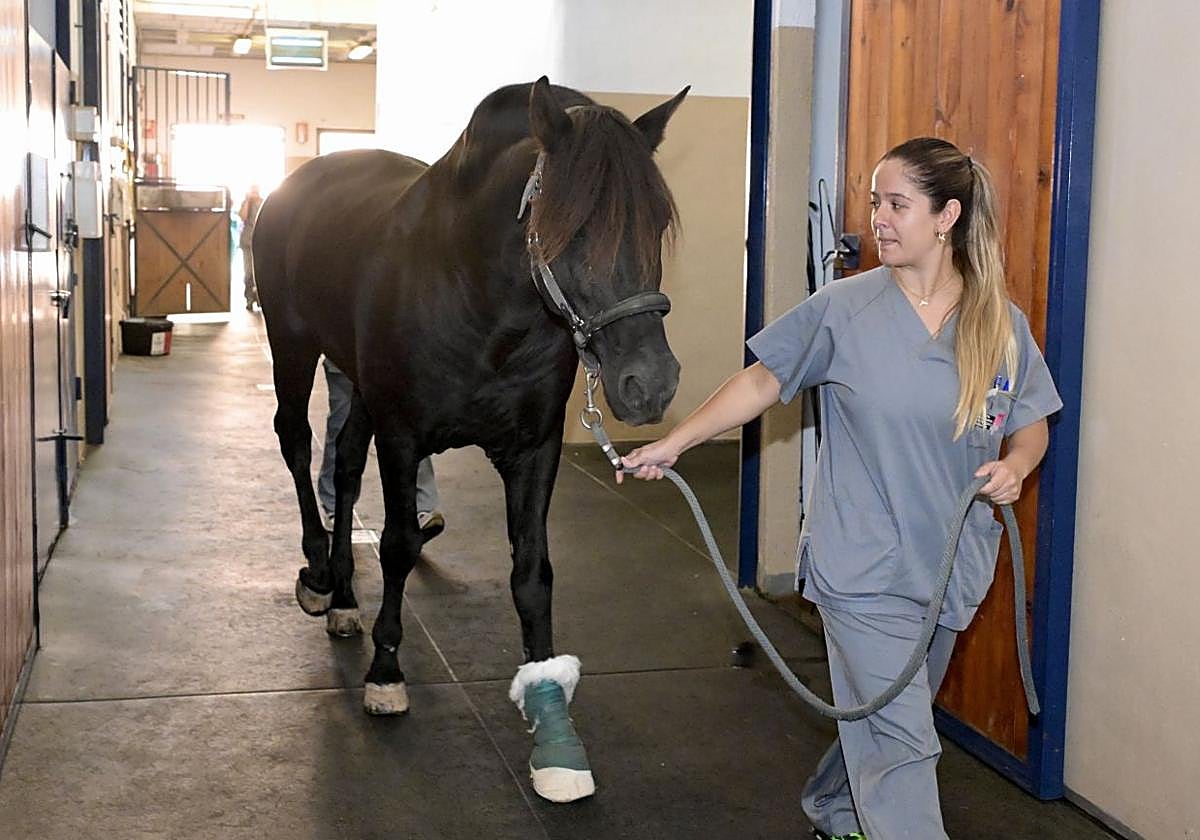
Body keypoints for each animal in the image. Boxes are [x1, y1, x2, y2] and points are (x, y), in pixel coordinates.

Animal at [252, 77, 686, 803]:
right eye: (574, 227)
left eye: (654, 224)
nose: (649, 384)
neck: (482, 301)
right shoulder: (403, 437)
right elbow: (399, 546)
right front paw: (386, 672)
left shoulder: (533, 451)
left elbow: (532, 574)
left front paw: (554, 729)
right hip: (292, 344)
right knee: (297, 442)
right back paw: (318, 576)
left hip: (357, 382)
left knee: (344, 463)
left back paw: (344, 600)